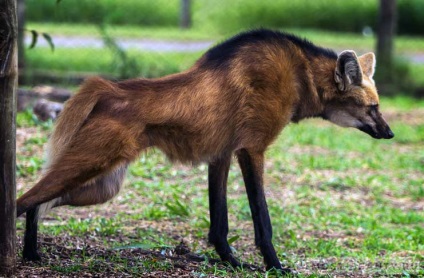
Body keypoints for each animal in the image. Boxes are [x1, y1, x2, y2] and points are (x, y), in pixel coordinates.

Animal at [16, 29, 394, 272]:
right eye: (373, 107)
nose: (390, 133)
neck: (301, 75)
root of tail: (107, 88)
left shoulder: (222, 154)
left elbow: (219, 223)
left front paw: (234, 263)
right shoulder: (251, 150)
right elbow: (262, 218)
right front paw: (275, 266)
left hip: (102, 185)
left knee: (36, 204)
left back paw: (32, 253)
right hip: (93, 164)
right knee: (23, 200)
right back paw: (25, 253)